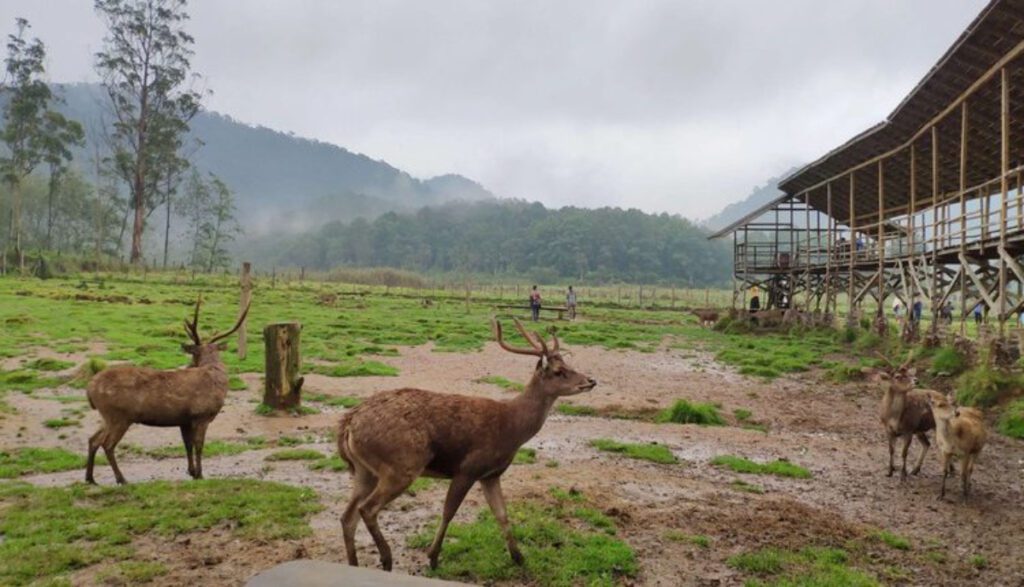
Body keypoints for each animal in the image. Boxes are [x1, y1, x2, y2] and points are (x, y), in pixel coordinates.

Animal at [84, 297, 248, 485]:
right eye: (194, 354)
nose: (190, 365)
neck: (216, 378)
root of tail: (89, 388)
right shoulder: (201, 416)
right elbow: (199, 445)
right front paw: (200, 474)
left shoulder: (184, 419)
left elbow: (187, 444)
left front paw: (192, 472)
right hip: (119, 415)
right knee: (107, 444)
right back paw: (121, 479)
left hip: (107, 416)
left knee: (93, 439)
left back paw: (90, 478)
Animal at [337, 317, 593, 569]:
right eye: (559, 371)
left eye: (570, 365)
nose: (591, 380)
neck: (511, 430)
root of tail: (349, 424)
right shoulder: (468, 468)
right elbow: (448, 512)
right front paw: (433, 557)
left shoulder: (491, 474)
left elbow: (502, 514)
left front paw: (519, 558)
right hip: (401, 465)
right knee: (367, 509)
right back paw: (387, 557)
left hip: (365, 471)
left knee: (348, 516)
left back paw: (354, 563)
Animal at [864, 352, 937, 481]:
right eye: (897, 376)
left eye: (910, 373)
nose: (916, 380)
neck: (894, 419)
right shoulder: (888, 429)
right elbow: (891, 450)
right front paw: (890, 471)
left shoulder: (908, 430)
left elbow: (904, 452)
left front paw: (903, 474)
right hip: (919, 430)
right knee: (927, 444)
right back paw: (915, 470)